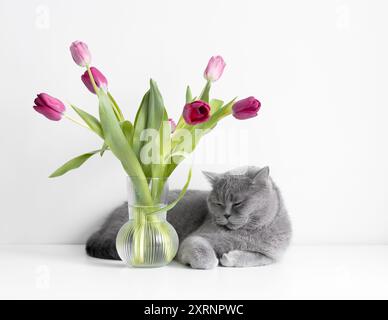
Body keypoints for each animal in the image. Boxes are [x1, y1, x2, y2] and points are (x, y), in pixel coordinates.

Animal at [85, 166, 292, 268]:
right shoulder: (195, 239)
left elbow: (257, 258)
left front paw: (229, 257)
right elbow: (206, 257)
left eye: (238, 203)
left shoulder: (273, 255)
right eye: (218, 203)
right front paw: (216, 259)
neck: (247, 233)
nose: (225, 215)